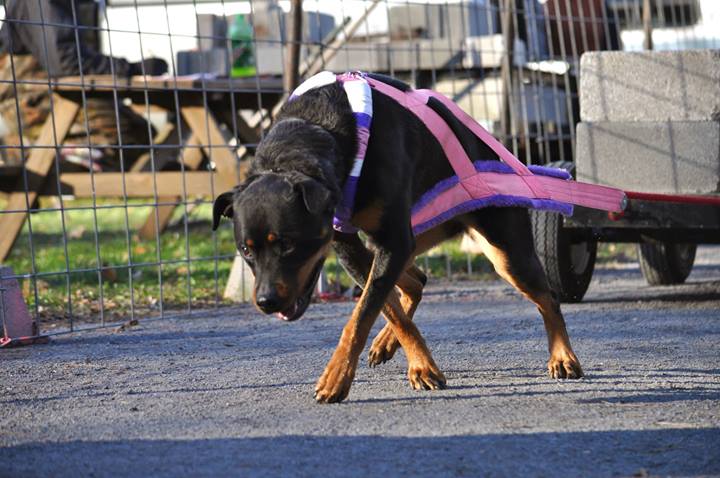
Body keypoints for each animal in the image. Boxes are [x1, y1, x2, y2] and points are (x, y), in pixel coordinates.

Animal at [214, 74, 584, 404]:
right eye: (245, 250)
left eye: (288, 243)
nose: (266, 302)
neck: (316, 130)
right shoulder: (351, 243)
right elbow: (385, 307)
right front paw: (420, 365)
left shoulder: (391, 240)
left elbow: (363, 313)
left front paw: (336, 378)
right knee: (416, 280)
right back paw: (386, 342)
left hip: (504, 250)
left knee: (548, 297)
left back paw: (563, 357)